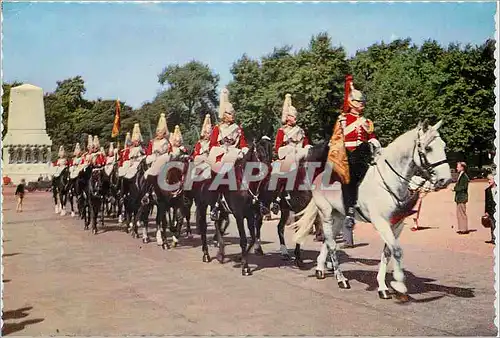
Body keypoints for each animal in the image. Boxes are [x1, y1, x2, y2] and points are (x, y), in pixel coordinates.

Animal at [288, 120, 452, 300]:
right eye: (428, 148)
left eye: (443, 146)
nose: (446, 179)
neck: (389, 181)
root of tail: (319, 177)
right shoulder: (381, 222)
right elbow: (397, 251)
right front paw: (399, 285)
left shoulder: (396, 225)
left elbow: (388, 252)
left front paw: (384, 286)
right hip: (326, 214)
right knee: (331, 244)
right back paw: (341, 278)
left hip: (339, 216)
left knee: (327, 242)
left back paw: (320, 268)